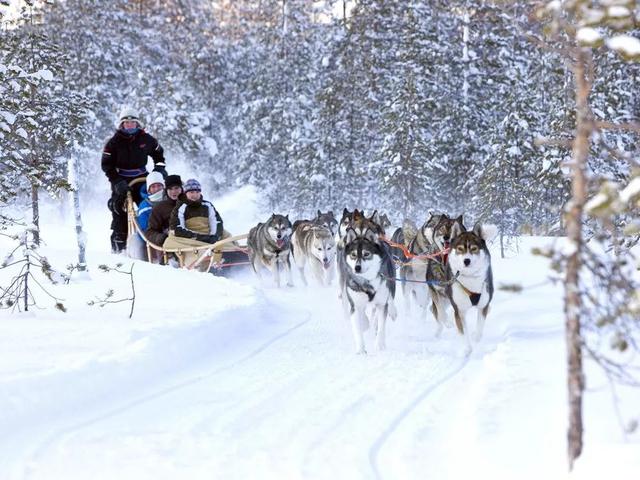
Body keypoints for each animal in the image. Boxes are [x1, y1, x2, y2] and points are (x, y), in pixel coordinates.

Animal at [446, 222, 496, 353]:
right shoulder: (459, 310)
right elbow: (463, 333)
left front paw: (475, 338)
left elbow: (479, 328)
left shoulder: (483, 306)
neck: (470, 278)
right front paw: (467, 349)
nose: (466, 260)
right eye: (460, 249)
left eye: (474, 248)